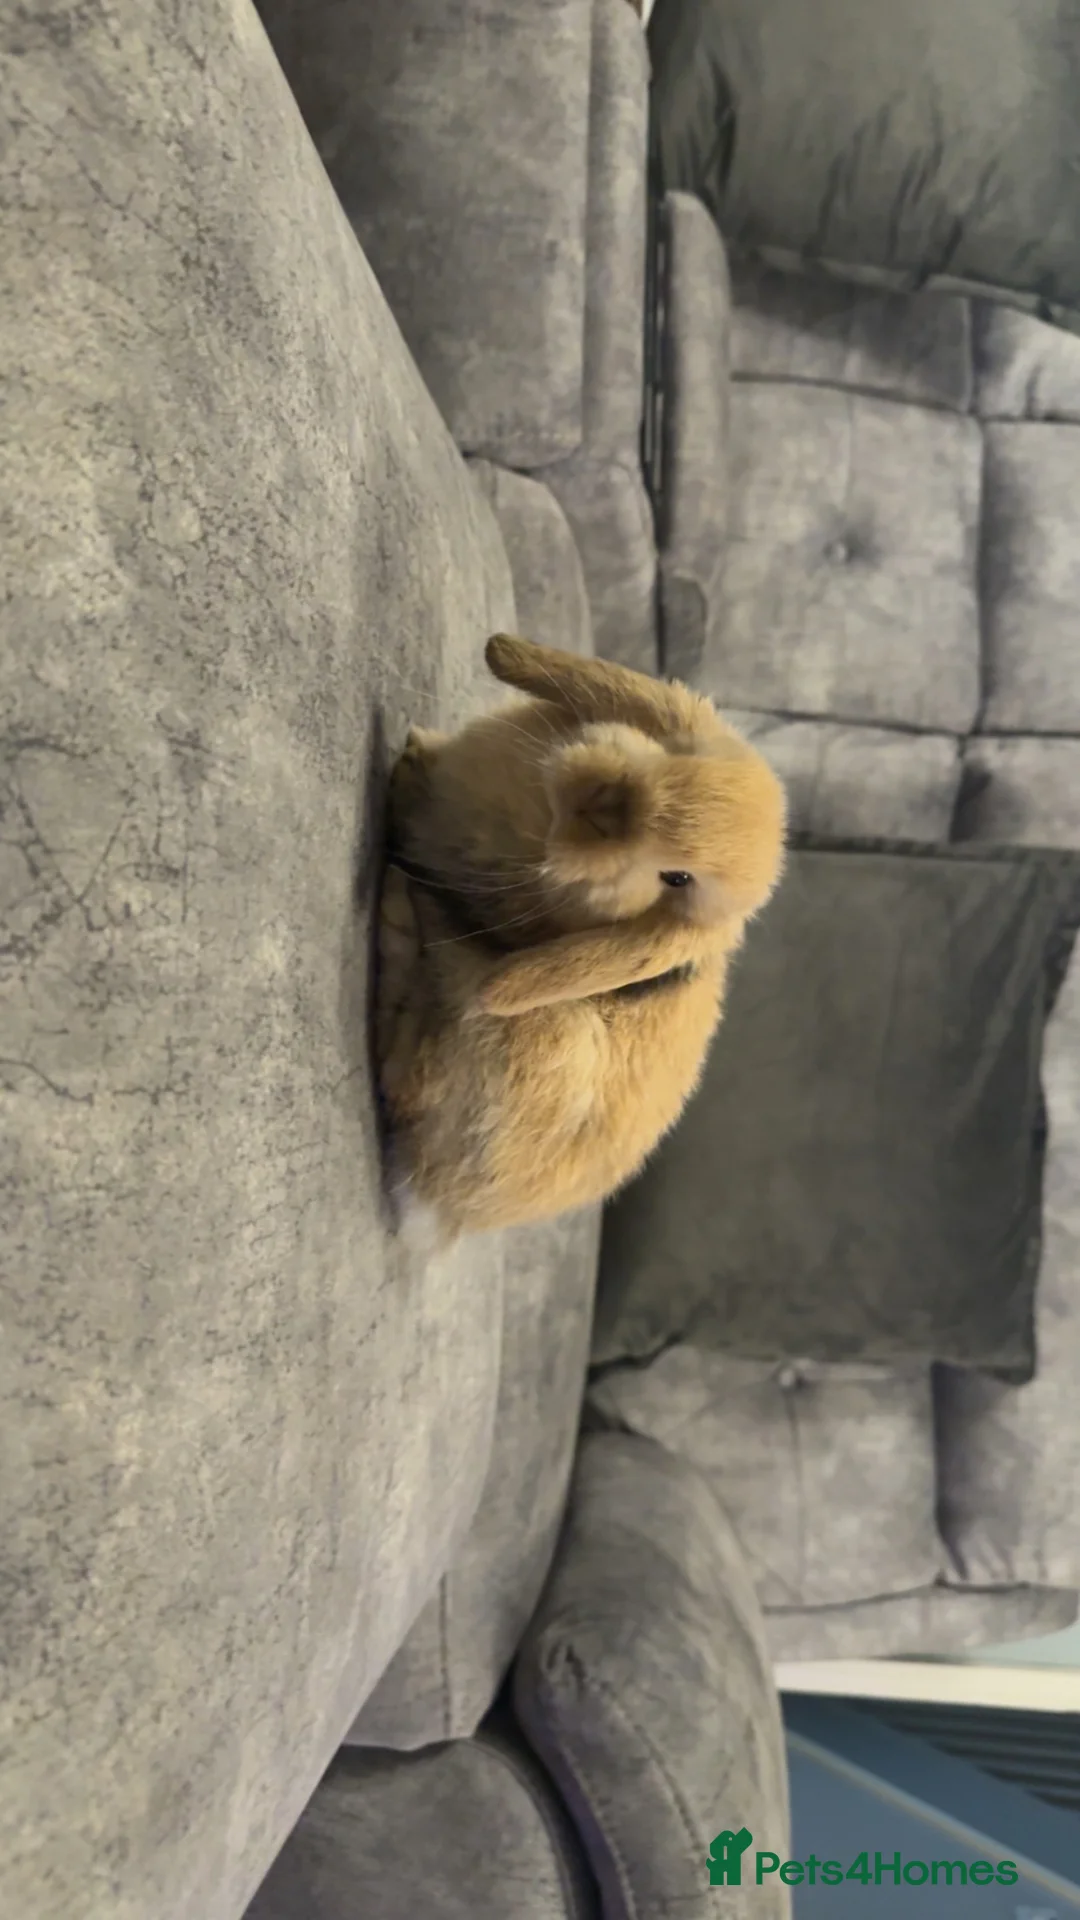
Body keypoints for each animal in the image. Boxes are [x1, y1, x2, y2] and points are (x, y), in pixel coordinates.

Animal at [376, 633, 787, 1243]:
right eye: (681, 750)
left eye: (677, 879)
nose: (603, 804)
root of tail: (455, 1209)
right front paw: (416, 752)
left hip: (537, 1038)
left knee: (403, 1069)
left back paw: (397, 901)